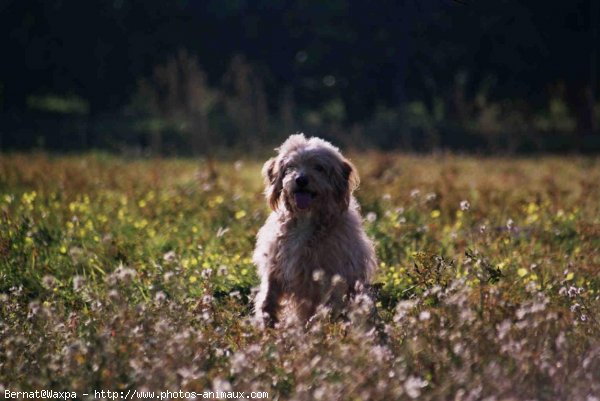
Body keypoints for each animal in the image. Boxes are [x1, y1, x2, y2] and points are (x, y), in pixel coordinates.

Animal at [252, 133, 376, 326]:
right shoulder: (274, 266)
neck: (305, 220)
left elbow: (323, 308)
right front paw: (266, 324)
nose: (301, 179)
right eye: (291, 166)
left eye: (319, 167)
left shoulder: (331, 276)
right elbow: (267, 299)